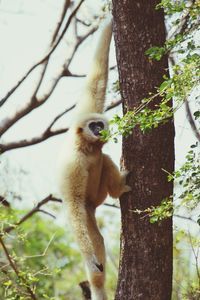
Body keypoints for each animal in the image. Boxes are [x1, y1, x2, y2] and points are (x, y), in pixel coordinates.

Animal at [57, 18, 130, 300]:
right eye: (94, 126)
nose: (100, 130)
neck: (86, 147)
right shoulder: (72, 167)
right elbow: (72, 205)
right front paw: (89, 259)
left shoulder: (87, 109)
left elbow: (96, 81)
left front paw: (109, 22)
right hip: (90, 208)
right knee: (87, 227)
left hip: (98, 198)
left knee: (105, 157)